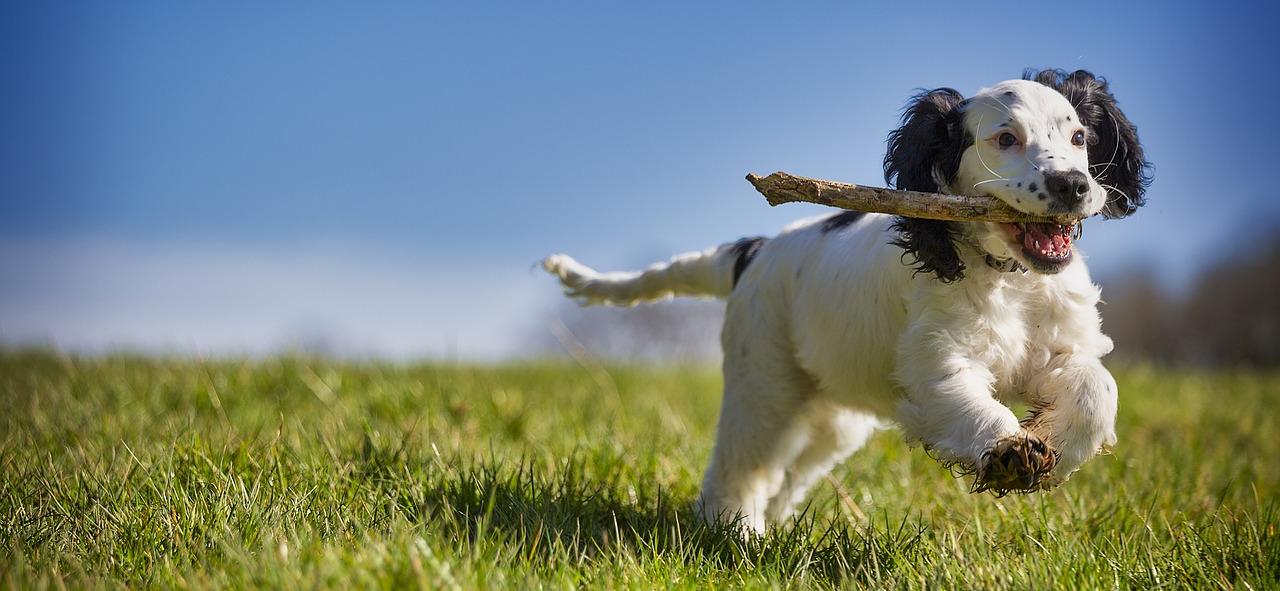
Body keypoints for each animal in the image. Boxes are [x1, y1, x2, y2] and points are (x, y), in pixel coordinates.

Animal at [540, 68, 1152, 532]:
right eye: (1005, 139)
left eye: (1079, 138)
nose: (1075, 185)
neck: (1009, 278)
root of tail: (755, 250)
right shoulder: (936, 363)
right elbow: (970, 402)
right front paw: (1009, 453)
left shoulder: (1064, 347)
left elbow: (1097, 390)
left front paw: (1053, 445)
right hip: (764, 384)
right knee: (741, 466)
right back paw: (734, 532)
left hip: (833, 419)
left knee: (788, 475)